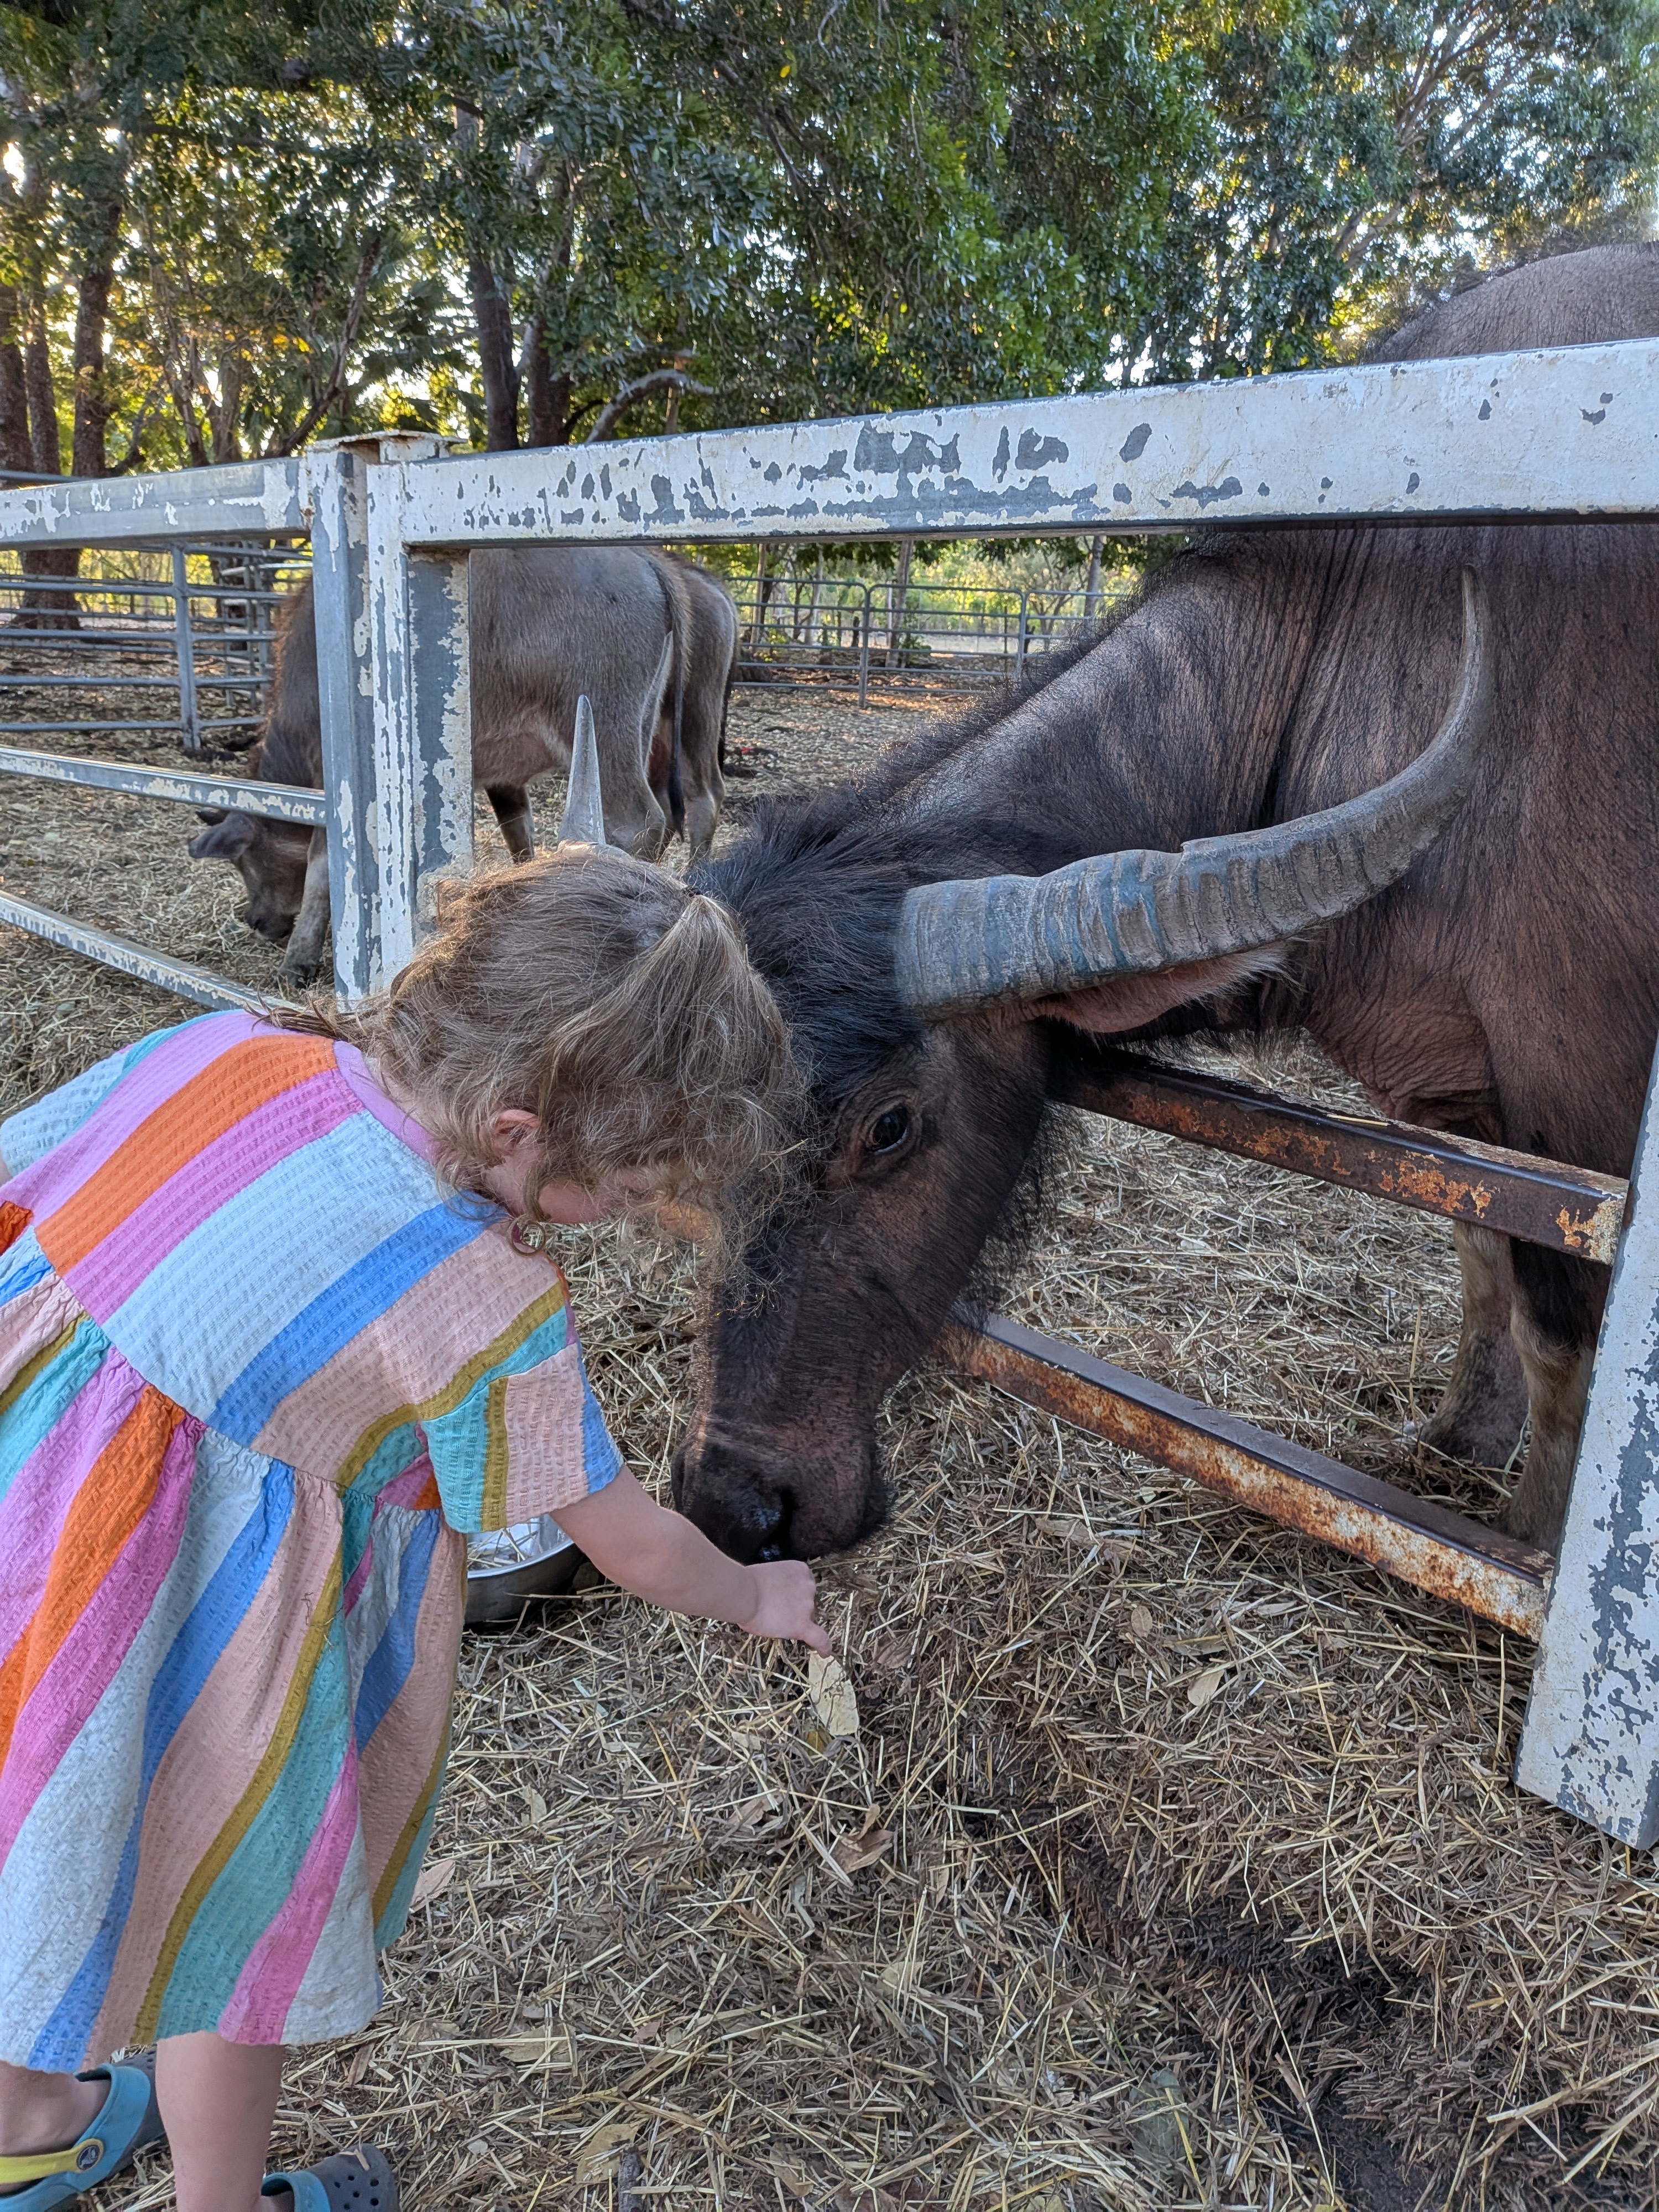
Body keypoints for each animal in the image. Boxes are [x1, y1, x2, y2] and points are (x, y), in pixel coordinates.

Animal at [673, 244, 1659, 1565]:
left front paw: (1537, 1542)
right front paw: (1460, 1436)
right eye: (700, 1126)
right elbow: (1479, 1253)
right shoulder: (1458, 1099)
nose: (733, 1504)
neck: (1344, 657)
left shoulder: (1577, 1100)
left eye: (888, 1126)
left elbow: (1562, 1332)